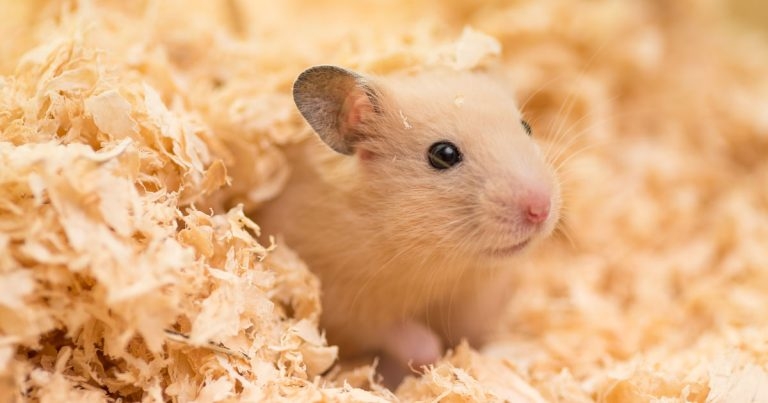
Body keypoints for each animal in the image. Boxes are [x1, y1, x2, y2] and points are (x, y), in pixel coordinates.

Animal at [255, 65, 561, 386]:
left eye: (527, 127)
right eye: (443, 154)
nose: (540, 209)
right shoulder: (339, 299)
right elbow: (399, 333)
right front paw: (428, 357)